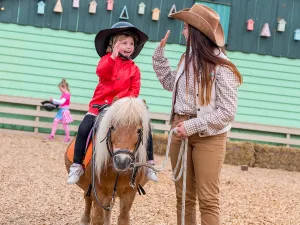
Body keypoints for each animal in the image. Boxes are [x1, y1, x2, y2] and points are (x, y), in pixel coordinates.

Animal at [65, 97, 150, 225]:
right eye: (112, 127)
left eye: (139, 130)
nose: (121, 161)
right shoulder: (98, 192)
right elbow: (97, 218)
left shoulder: (129, 194)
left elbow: (123, 218)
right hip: (89, 187)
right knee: (87, 200)